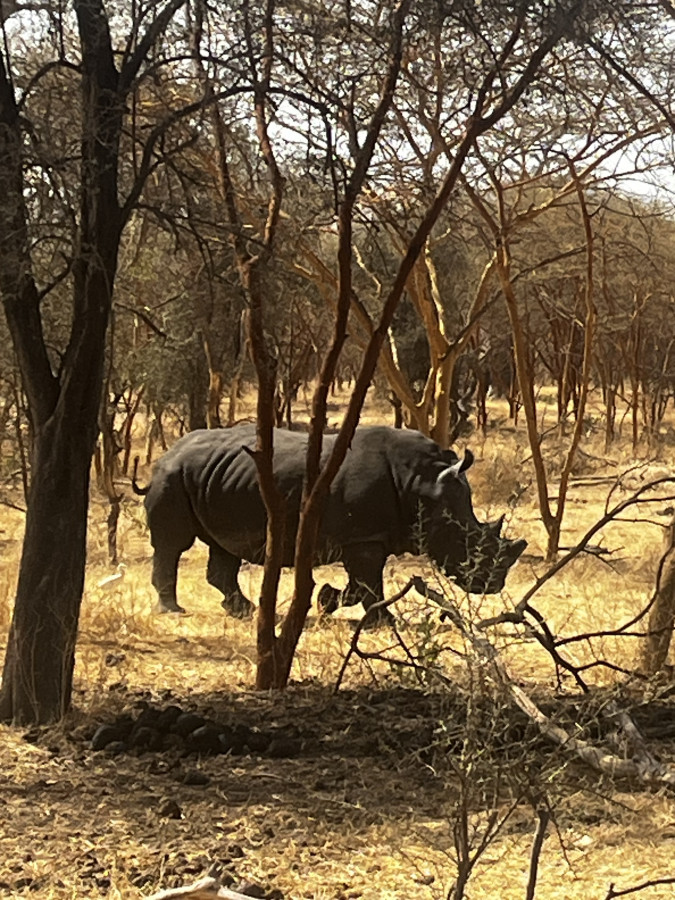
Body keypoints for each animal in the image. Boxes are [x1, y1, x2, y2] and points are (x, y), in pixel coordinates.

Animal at [134, 423, 526, 622]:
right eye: (465, 540)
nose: (492, 586)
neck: (423, 484)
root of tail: (166, 453)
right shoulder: (363, 538)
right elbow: (369, 584)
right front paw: (385, 623)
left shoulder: (369, 537)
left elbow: (360, 584)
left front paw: (325, 601)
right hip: (172, 476)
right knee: (173, 544)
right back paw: (173, 611)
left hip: (214, 478)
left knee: (223, 547)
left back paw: (244, 612)